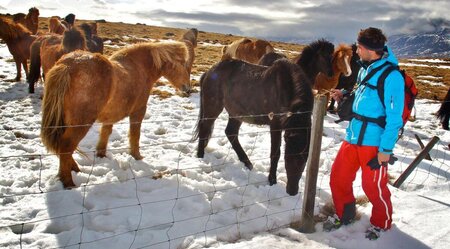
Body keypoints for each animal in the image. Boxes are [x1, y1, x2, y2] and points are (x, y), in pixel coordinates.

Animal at [40, 41, 192, 189]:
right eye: (183, 64)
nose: (187, 89)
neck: (139, 67)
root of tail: (67, 66)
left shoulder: (109, 117)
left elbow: (105, 133)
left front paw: (101, 154)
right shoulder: (138, 112)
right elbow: (135, 135)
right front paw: (137, 156)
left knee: (62, 147)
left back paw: (73, 169)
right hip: (81, 123)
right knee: (66, 146)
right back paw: (68, 182)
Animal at [193, 39, 334, 196]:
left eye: (305, 160)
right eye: (288, 158)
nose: (292, 191)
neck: (287, 89)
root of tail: (209, 72)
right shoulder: (275, 125)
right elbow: (275, 153)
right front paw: (272, 180)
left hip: (237, 113)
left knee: (230, 133)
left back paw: (247, 163)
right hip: (213, 107)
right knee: (205, 128)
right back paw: (200, 156)